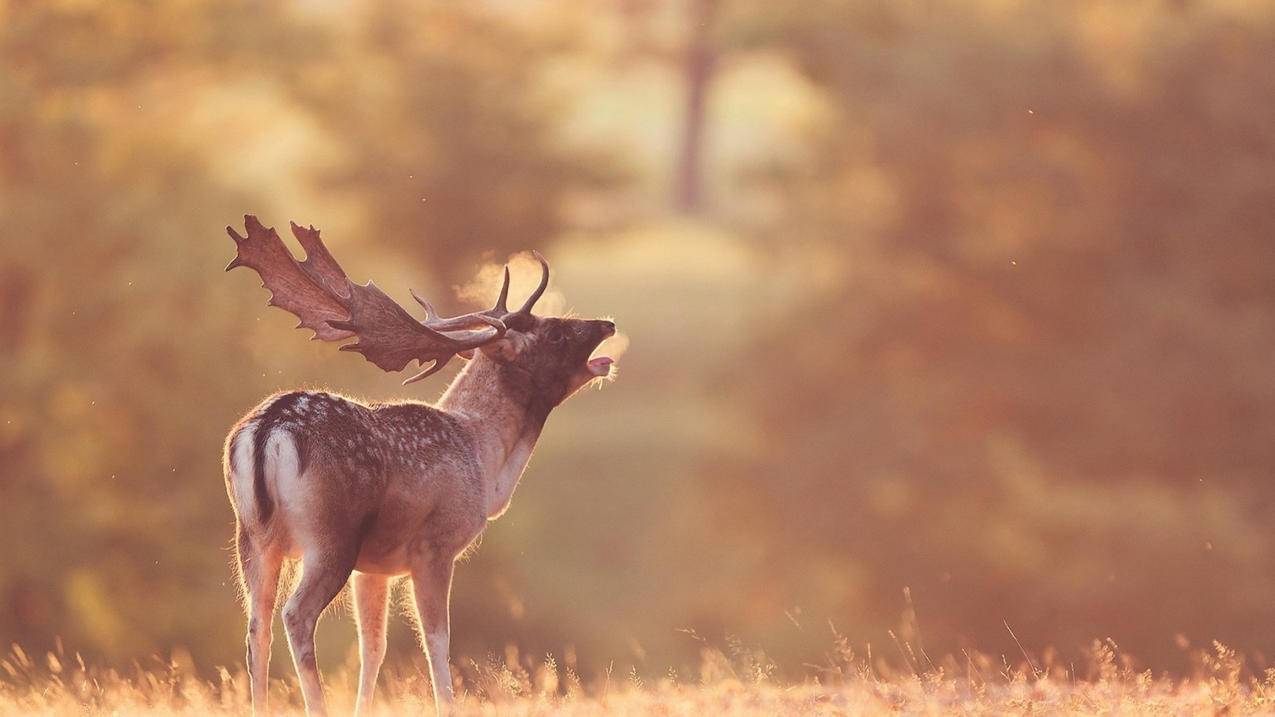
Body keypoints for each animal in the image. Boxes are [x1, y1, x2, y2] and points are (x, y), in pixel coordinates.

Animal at [221, 213, 619, 714]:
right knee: (296, 615)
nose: (607, 323)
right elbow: (437, 641)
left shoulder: (373, 568)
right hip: (330, 537)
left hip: (253, 538)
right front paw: (447, 703)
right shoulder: (435, 546)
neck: (484, 461)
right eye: (556, 332)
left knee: (257, 626)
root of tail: (267, 430)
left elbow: (373, 647)